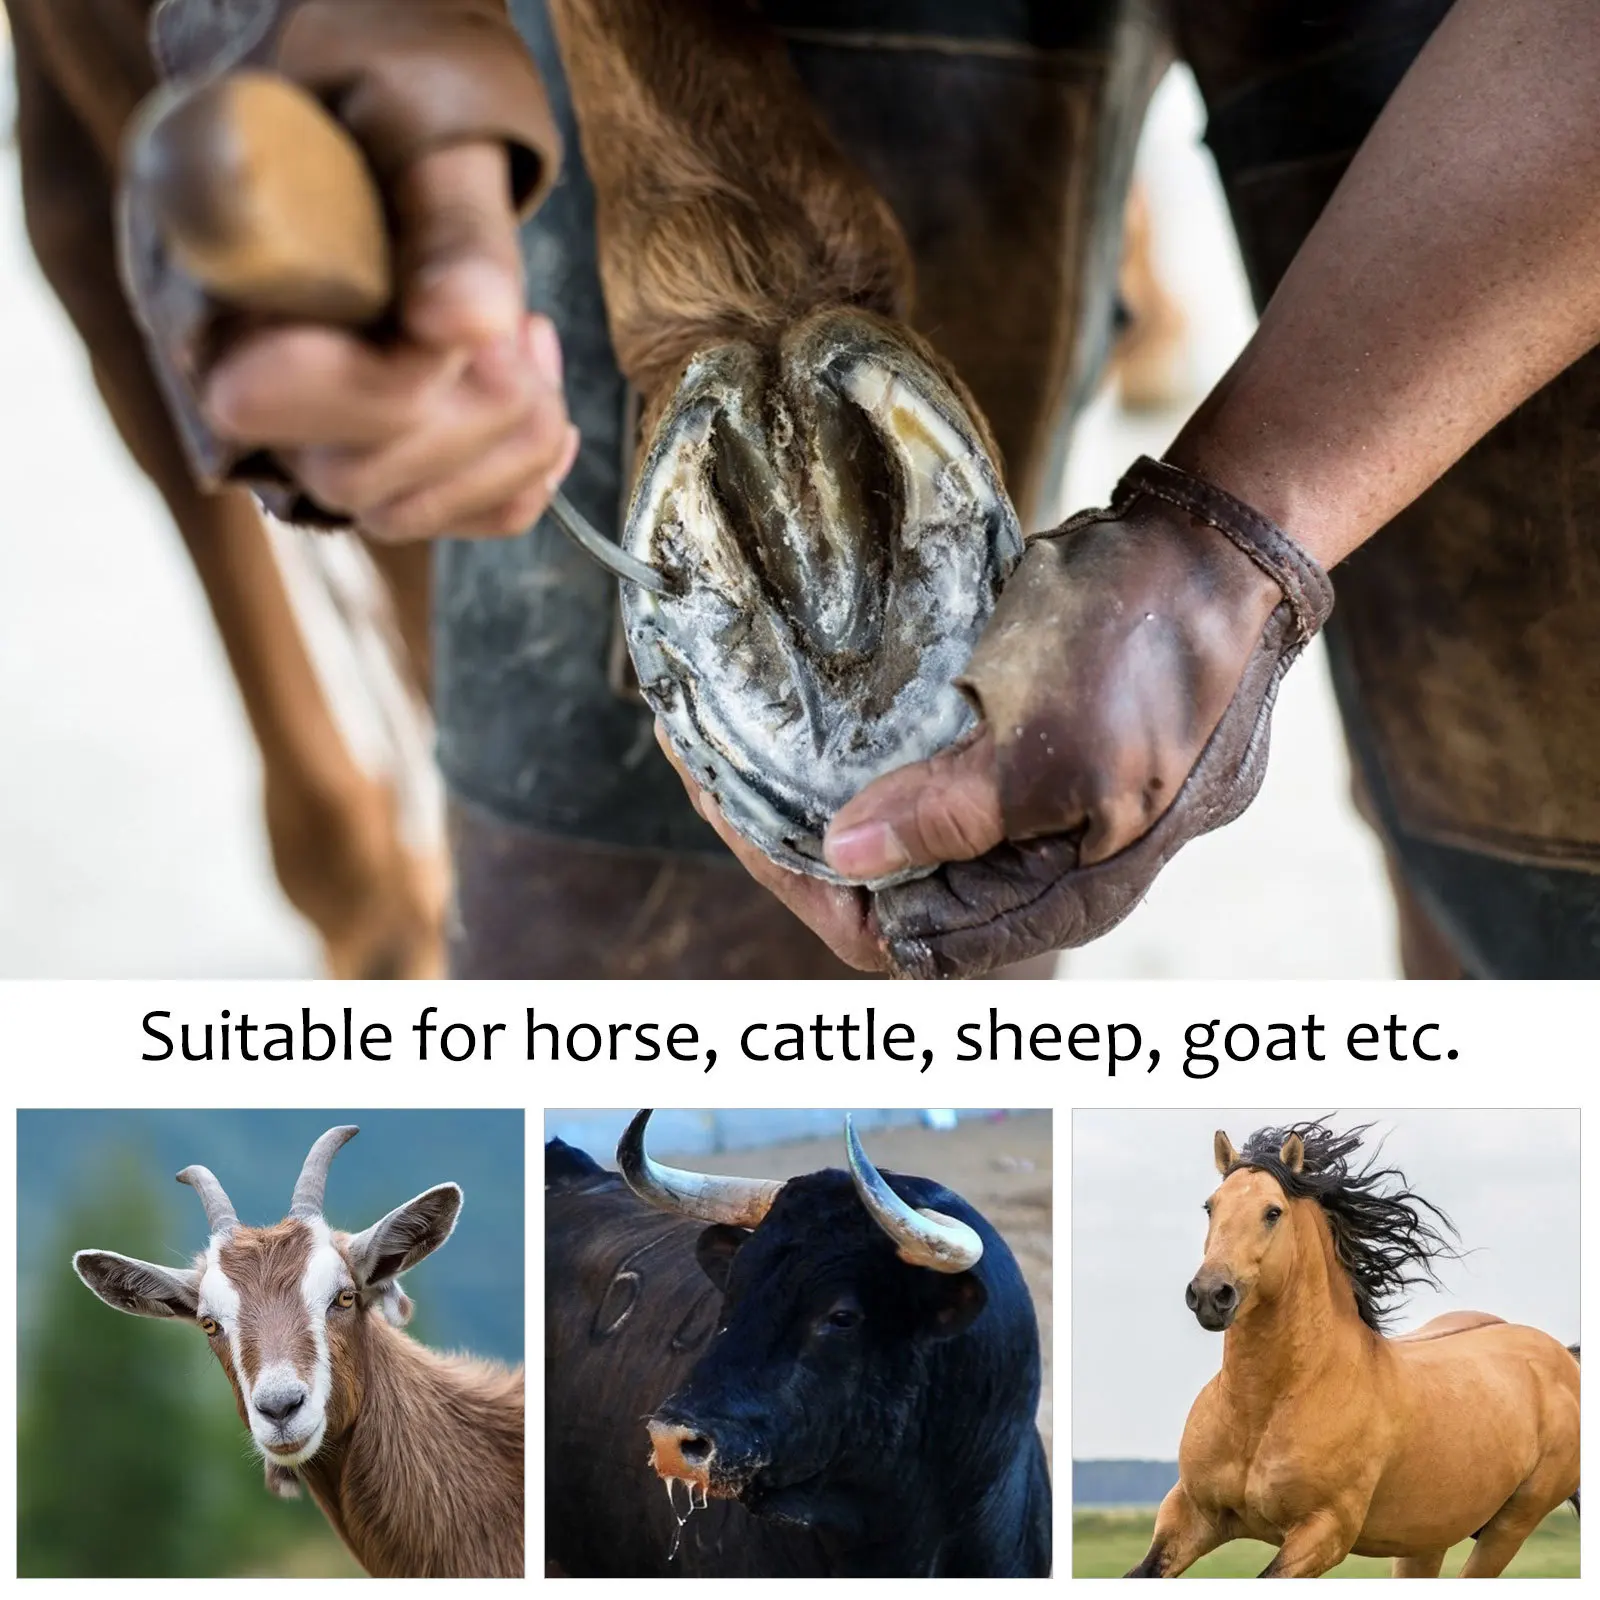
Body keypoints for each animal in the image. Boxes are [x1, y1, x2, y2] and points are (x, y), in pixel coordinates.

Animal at [1128, 1122, 1579, 1578]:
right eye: (1210, 1206)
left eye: (1273, 1212)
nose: (1209, 1294)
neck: (1264, 1412)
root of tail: (1563, 1357)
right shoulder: (1190, 1514)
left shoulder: (1324, 1533)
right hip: (1424, 1538)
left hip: (1510, 1526)